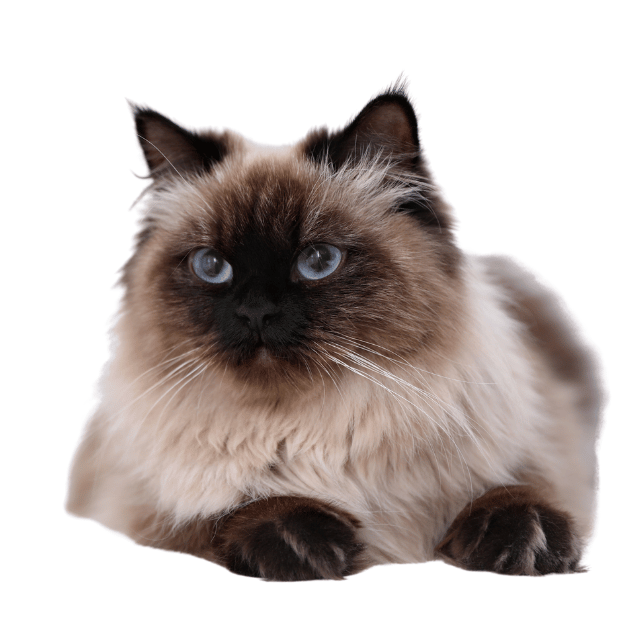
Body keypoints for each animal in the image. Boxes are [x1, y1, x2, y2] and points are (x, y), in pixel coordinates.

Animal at [67, 85, 600, 576]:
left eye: (319, 261)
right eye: (212, 267)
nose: (256, 312)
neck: (312, 429)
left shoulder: (539, 457)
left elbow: (519, 493)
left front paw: (525, 543)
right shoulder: (140, 505)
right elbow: (220, 512)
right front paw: (307, 544)